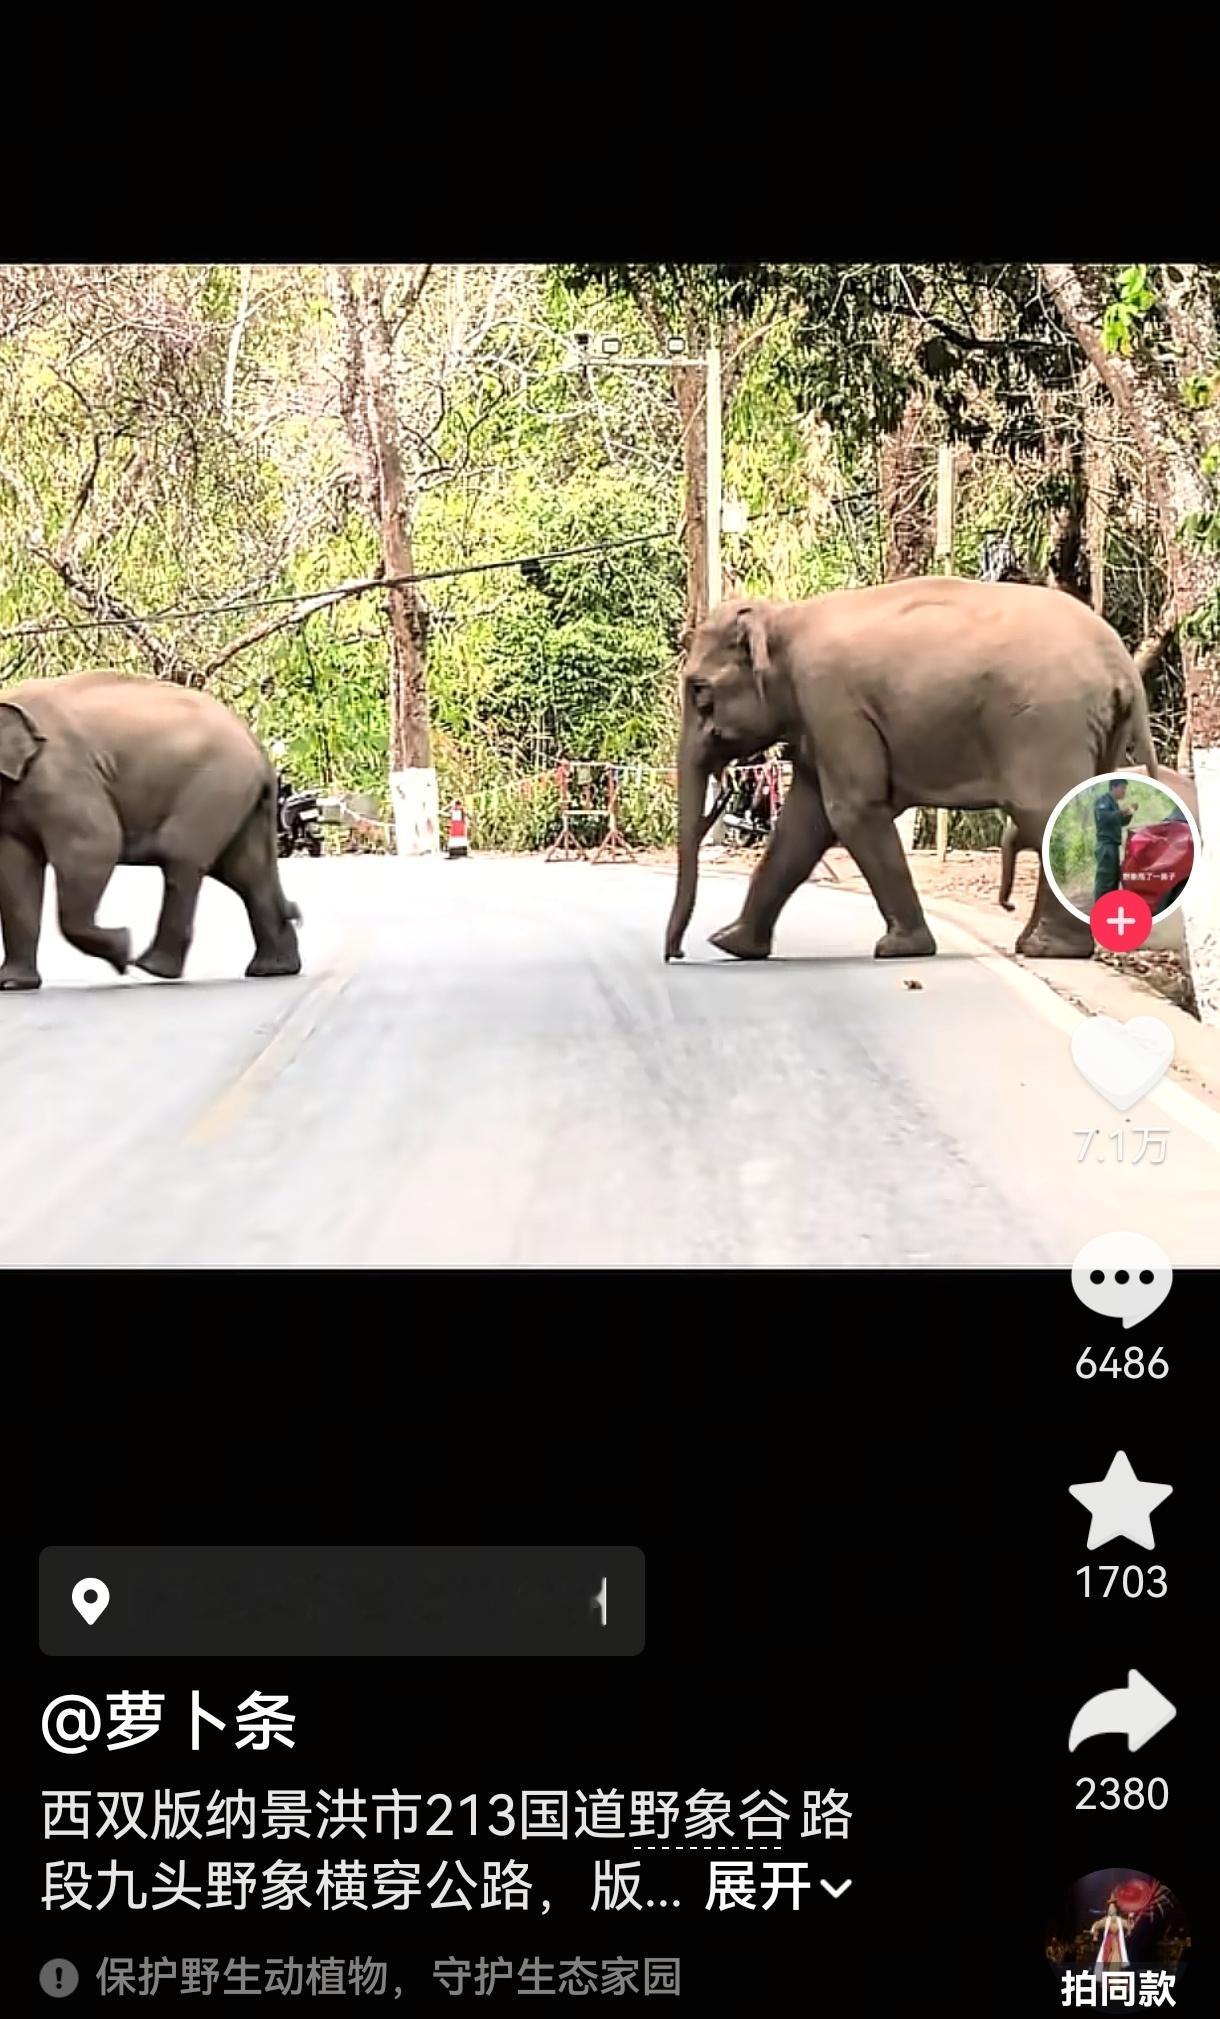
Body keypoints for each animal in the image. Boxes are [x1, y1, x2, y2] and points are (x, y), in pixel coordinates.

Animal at [0, 671, 302, 991]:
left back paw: (152, 968)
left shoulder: (60, 776)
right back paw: (274, 969)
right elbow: (14, 871)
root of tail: (259, 750)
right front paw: (12, 984)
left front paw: (123, 950)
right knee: (246, 872)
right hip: (240, 799)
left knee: (181, 854)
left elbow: (95, 846)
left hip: (217, 784)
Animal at [663, 577, 1157, 966]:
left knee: (1043, 813)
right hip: (1097, 731)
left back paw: (1047, 949)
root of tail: (1123, 666)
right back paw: (1038, 943)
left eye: (699, 691)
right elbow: (803, 823)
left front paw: (900, 949)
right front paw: (731, 943)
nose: (677, 953)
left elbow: (851, 810)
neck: (784, 617)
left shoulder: (831, 701)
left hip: (1048, 723)